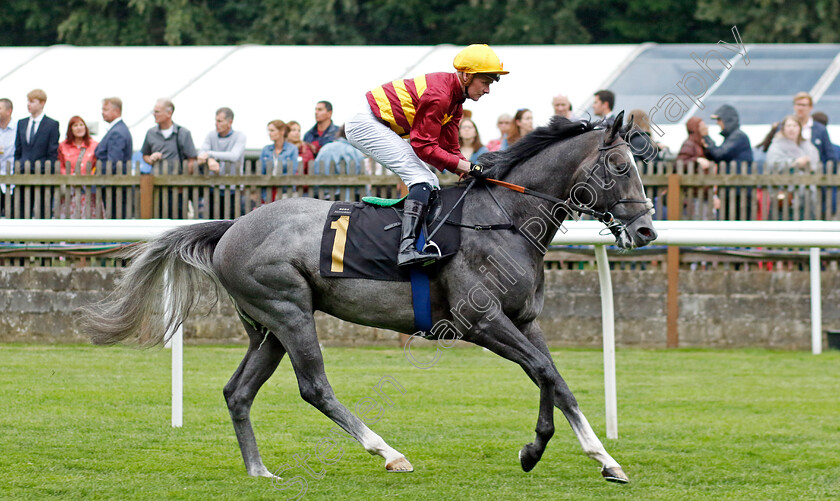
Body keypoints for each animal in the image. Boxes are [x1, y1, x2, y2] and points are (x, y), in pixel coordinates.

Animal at [80, 114, 656, 484]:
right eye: (622, 167)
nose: (647, 229)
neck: (504, 220)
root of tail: (231, 227)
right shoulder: (480, 321)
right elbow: (543, 371)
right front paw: (564, 453)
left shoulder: (524, 318)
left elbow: (552, 377)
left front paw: (576, 455)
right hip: (289, 311)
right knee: (314, 387)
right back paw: (388, 453)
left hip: (268, 327)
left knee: (237, 391)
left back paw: (259, 470)